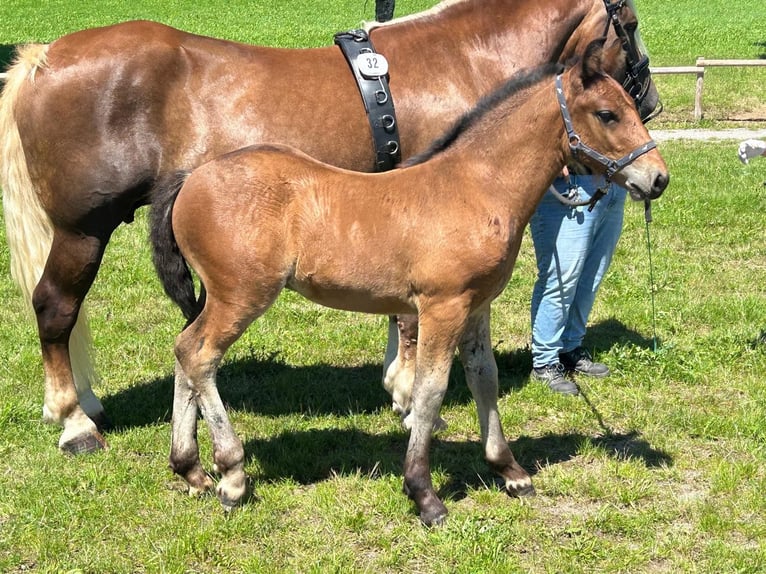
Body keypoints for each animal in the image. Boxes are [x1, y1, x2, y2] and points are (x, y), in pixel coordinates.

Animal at [0, 0, 660, 454]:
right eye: (628, 25)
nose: (650, 104)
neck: (461, 58)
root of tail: (41, 60)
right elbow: (411, 325)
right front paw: (410, 397)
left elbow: (399, 314)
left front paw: (397, 387)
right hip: (83, 231)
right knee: (55, 308)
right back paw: (74, 420)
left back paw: (87, 405)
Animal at [149, 41, 668, 525]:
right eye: (607, 114)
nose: (658, 178)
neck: (475, 187)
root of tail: (191, 177)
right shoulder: (442, 306)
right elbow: (430, 390)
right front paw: (424, 493)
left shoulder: (477, 306)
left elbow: (484, 378)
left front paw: (510, 471)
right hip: (241, 295)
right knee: (200, 355)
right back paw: (231, 475)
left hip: (215, 296)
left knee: (183, 349)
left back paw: (191, 469)